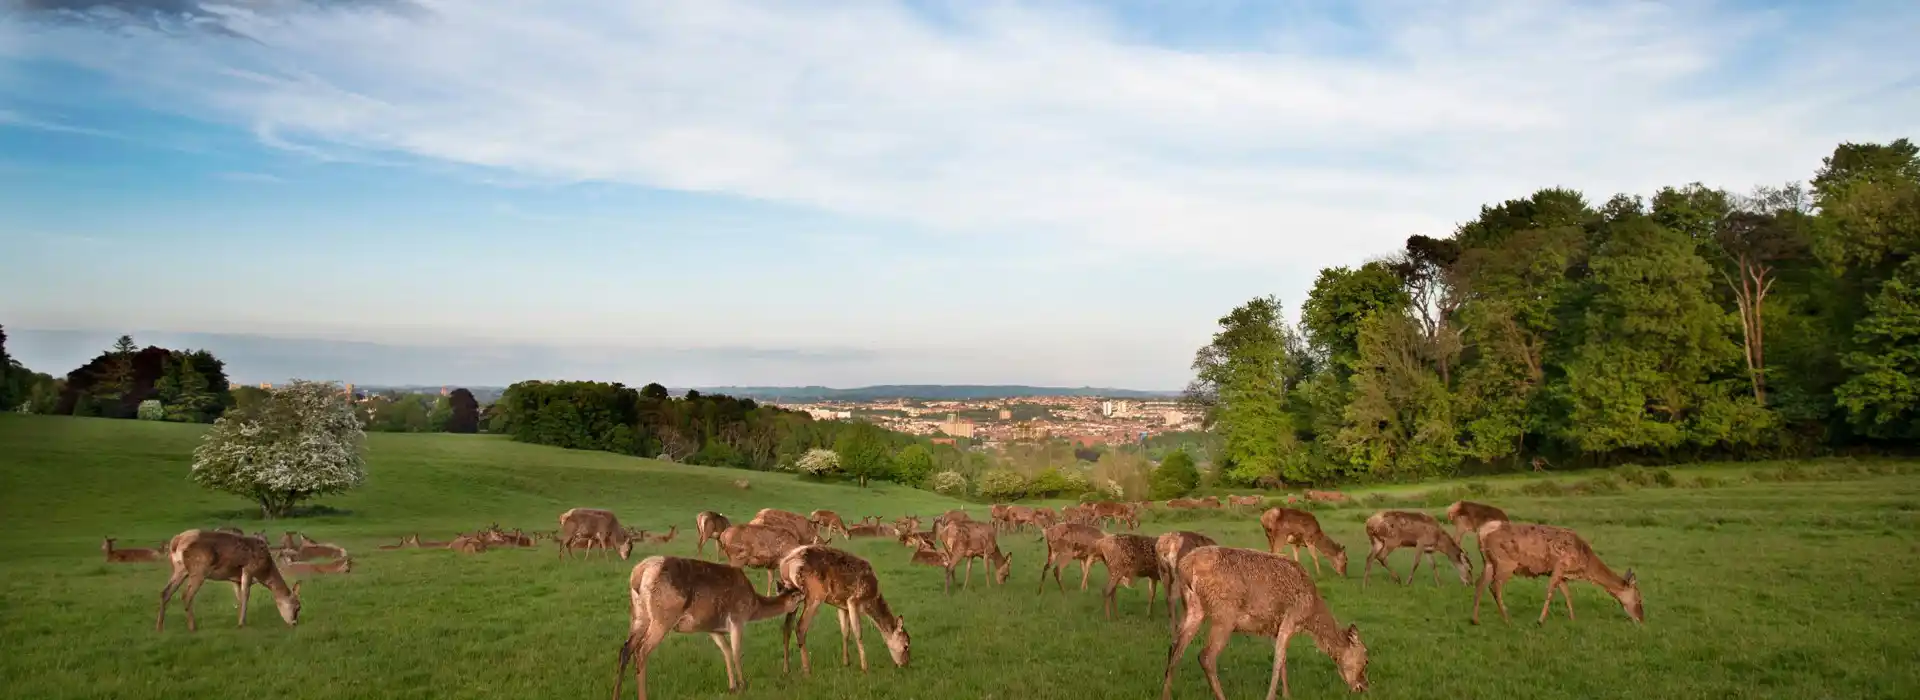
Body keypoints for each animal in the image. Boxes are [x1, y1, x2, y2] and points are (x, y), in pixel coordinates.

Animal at [155, 525, 301, 629]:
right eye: (297, 606)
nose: (294, 623)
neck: (264, 572)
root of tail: (176, 541)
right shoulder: (248, 569)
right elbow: (246, 596)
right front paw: (242, 624)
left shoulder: (235, 579)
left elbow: (240, 598)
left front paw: (241, 620)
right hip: (199, 569)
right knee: (186, 595)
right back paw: (193, 627)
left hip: (180, 569)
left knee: (165, 592)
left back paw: (159, 627)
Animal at [606, 552, 802, 694]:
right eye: (796, 594)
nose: (803, 595)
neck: (754, 606)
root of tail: (638, 574)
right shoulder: (737, 619)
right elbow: (736, 652)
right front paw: (743, 684)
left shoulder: (712, 628)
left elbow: (726, 651)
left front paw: (732, 686)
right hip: (662, 617)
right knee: (641, 651)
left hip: (639, 615)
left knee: (625, 649)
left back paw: (616, 695)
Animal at [775, 540, 910, 675]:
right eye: (906, 645)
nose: (905, 664)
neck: (871, 600)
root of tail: (785, 563)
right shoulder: (854, 600)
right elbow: (858, 632)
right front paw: (865, 668)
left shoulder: (842, 605)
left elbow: (845, 632)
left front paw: (846, 662)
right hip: (814, 594)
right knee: (800, 628)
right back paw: (807, 670)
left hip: (793, 595)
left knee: (786, 627)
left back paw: (786, 669)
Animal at [1159, 544, 1374, 698]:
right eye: (1365, 659)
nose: (1364, 686)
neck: (1311, 614)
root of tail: (1185, 567)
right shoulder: (1291, 618)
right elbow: (1278, 661)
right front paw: (1273, 696)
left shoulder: (1273, 627)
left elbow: (1283, 659)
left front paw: (1287, 695)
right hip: (1224, 614)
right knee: (1205, 656)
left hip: (1194, 608)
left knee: (1174, 648)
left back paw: (1166, 696)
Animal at [1474, 521, 1643, 625]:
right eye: (1639, 598)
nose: (1641, 618)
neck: (1584, 564)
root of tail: (1482, 533)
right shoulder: (1559, 566)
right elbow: (1550, 592)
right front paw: (1540, 620)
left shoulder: (1561, 574)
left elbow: (1567, 595)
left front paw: (1573, 618)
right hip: (1505, 562)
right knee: (1494, 586)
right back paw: (1507, 619)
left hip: (1488, 561)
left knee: (1480, 583)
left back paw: (1475, 619)